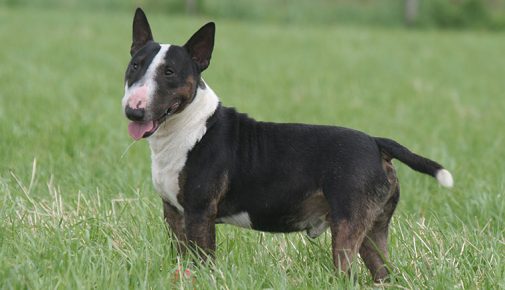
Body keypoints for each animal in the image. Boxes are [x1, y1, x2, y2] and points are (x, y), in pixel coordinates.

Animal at [121, 7, 452, 282]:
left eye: (169, 72)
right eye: (134, 66)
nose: (133, 110)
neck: (188, 128)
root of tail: (376, 143)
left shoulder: (199, 213)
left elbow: (202, 262)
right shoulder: (173, 213)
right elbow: (181, 258)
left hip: (348, 225)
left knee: (347, 273)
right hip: (375, 229)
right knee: (384, 273)